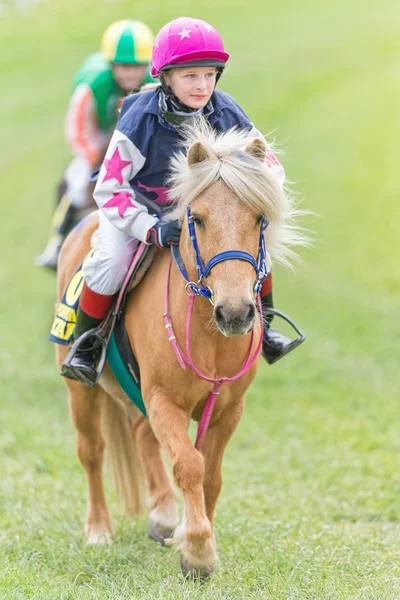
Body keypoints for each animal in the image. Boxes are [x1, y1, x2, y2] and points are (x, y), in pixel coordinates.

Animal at [54, 120, 304, 576]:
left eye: (260, 217)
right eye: (198, 219)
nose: (235, 312)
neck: (210, 335)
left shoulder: (227, 408)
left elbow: (212, 475)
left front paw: (193, 536)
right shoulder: (163, 400)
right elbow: (189, 464)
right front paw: (198, 552)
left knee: (140, 436)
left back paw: (165, 517)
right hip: (81, 390)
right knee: (92, 452)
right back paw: (99, 529)